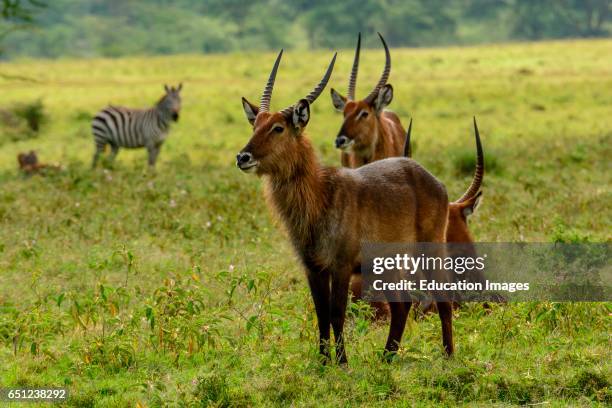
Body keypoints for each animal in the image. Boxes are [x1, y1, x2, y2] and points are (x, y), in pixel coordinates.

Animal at [237, 48, 452, 364]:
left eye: (277, 127)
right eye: (255, 125)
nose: (243, 157)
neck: (319, 197)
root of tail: (431, 178)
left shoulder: (341, 265)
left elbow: (336, 313)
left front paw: (341, 363)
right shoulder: (312, 267)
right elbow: (321, 315)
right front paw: (323, 362)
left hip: (430, 248)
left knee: (443, 298)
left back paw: (449, 356)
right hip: (387, 263)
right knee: (401, 305)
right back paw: (386, 358)